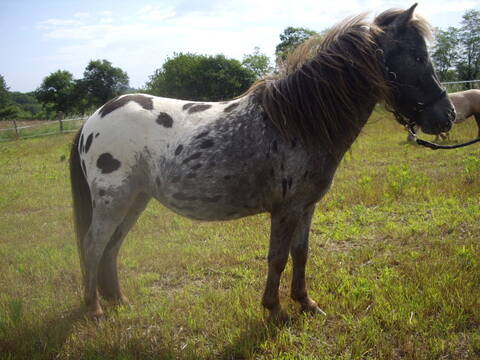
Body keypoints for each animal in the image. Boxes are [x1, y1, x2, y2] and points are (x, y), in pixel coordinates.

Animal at [70, 4, 454, 320]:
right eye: (418, 57)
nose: (446, 115)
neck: (298, 121)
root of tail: (93, 118)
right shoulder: (285, 209)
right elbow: (277, 258)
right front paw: (275, 311)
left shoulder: (306, 206)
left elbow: (301, 253)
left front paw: (306, 303)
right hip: (114, 201)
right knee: (93, 246)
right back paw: (95, 310)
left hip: (135, 200)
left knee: (112, 247)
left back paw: (119, 301)